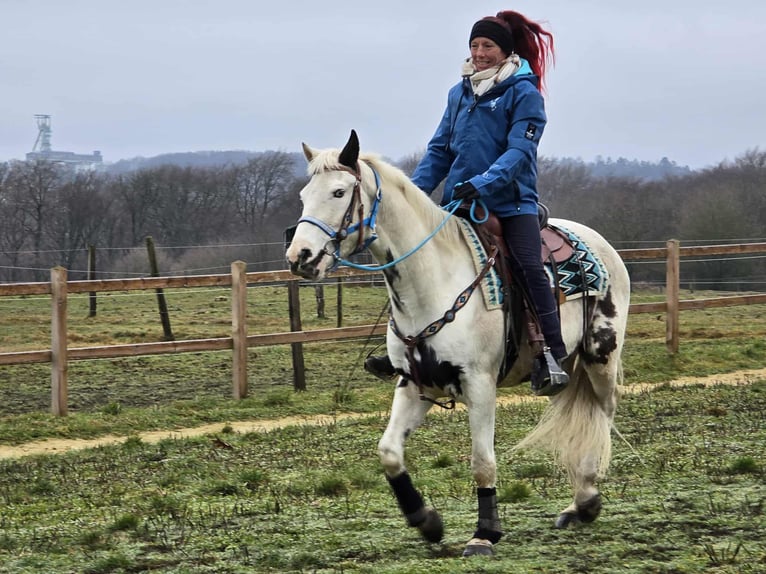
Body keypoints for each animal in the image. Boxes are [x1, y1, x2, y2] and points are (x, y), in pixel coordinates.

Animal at [285, 130, 631, 557]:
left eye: (338, 192)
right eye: (305, 194)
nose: (299, 257)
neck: (434, 282)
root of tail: (601, 245)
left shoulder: (479, 385)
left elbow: (482, 462)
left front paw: (485, 533)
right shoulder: (414, 384)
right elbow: (389, 453)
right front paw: (426, 521)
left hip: (601, 355)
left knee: (602, 412)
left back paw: (586, 502)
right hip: (568, 365)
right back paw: (577, 504)